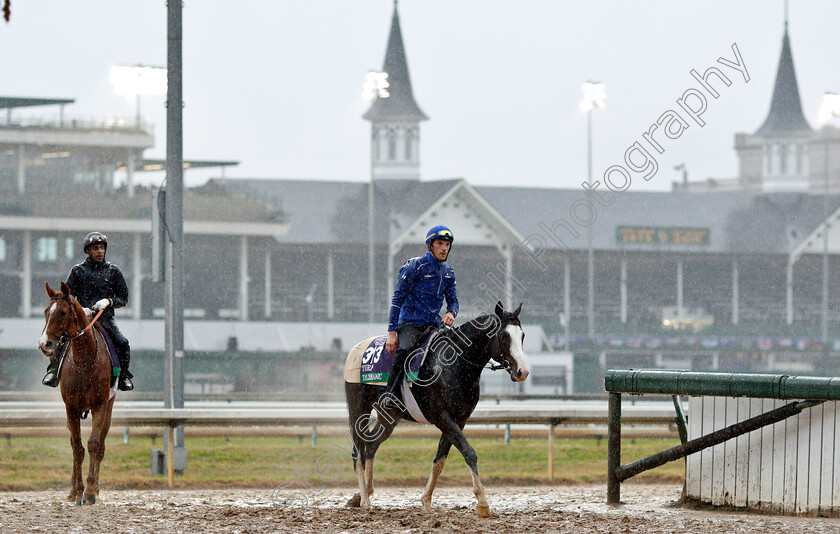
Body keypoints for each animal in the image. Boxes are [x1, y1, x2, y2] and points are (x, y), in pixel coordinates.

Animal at [38, 282, 115, 508]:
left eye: (63, 312)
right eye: (46, 312)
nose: (44, 344)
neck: (84, 361)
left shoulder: (100, 405)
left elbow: (94, 445)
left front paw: (90, 492)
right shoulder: (71, 408)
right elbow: (77, 448)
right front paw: (79, 492)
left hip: (109, 407)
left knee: (100, 447)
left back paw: (96, 490)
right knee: (74, 444)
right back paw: (73, 491)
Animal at [344, 304, 528, 516]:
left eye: (522, 335)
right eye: (504, 335)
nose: (523, 372)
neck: (454, 363)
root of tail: (355, 350)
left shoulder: (459, 420)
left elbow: (440, 460)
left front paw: (426, 500)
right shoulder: (442, 418)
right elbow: (469, 452)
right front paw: (482, 502)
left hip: (388, 417)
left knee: (371, 445)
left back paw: (365, 492)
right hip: (359, 408)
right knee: (359, 451)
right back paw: (365, 499)